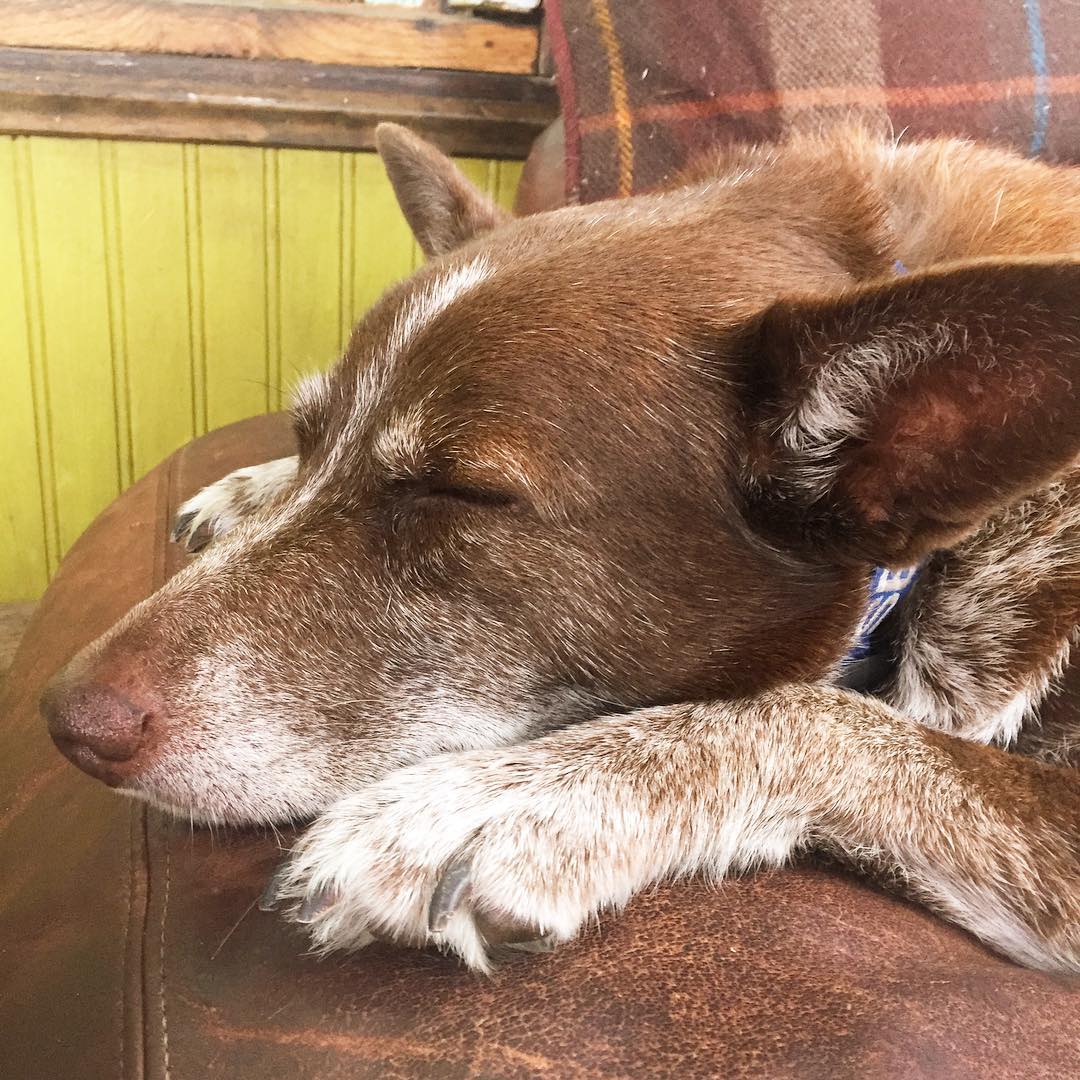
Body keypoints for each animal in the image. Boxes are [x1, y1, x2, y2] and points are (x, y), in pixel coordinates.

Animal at [42, 124, 1080, 972]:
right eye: (307, 431)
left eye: (458, 492)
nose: (63, 720)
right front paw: (253, 487)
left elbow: (816, 714)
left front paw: (504, 803)